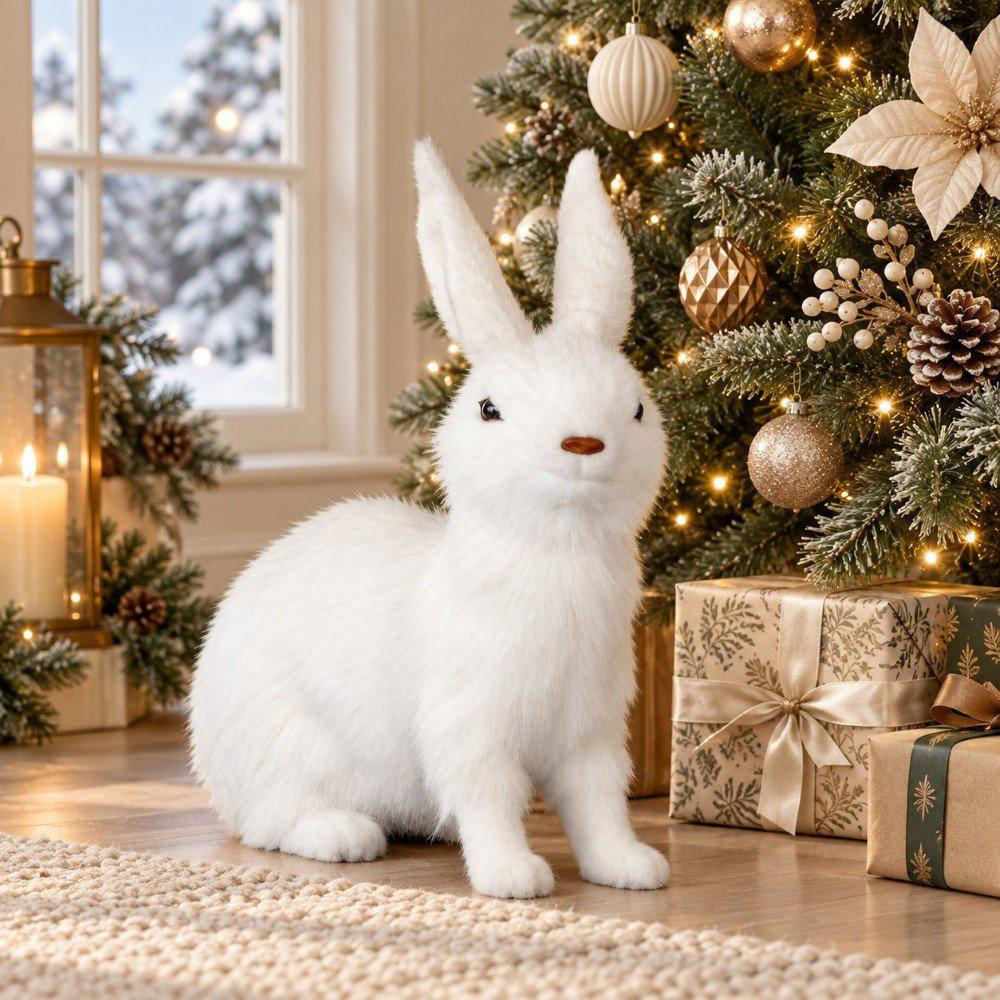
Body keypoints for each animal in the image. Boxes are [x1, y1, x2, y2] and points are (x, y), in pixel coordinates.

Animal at [188, 139, 670, 900]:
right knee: (274, 821)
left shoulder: (590, 732)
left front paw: (630, 868)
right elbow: (490, 799)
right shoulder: (469, 726)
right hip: (290, 748)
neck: (556, 548)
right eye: (490, 409)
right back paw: (344, 836)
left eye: (638, 409)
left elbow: (599, 806)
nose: (583, 444)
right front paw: (513, 878)